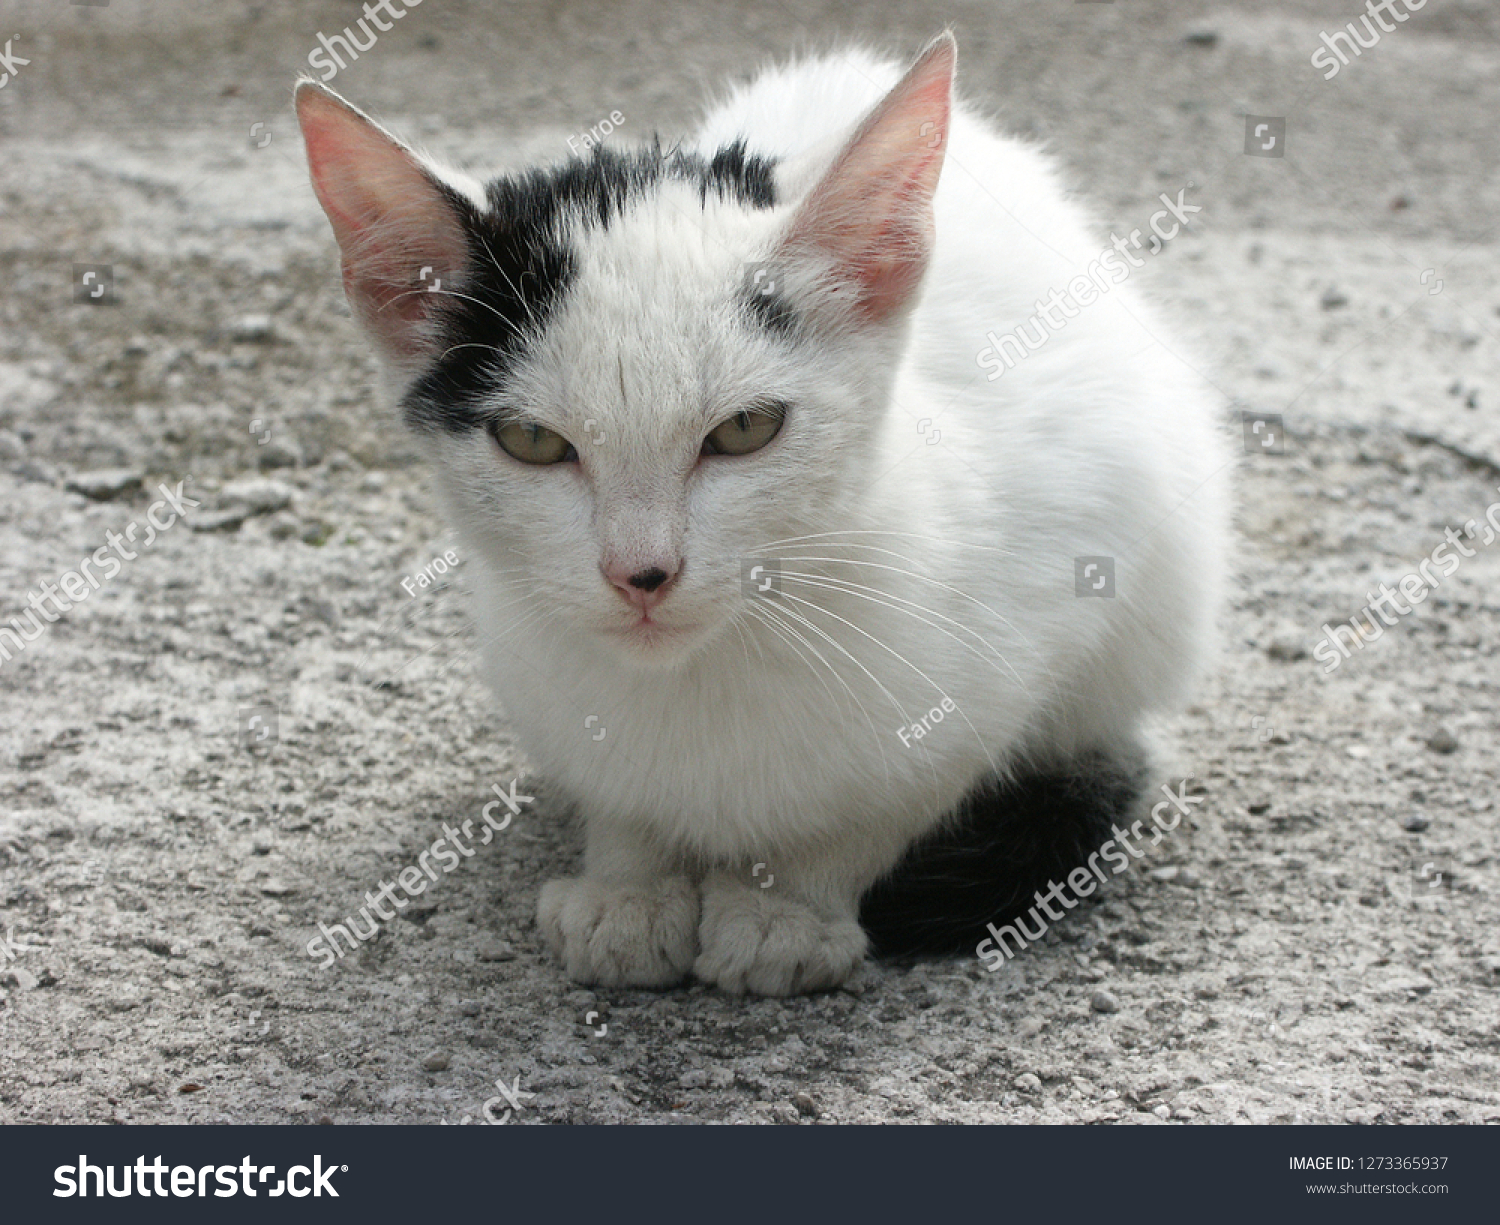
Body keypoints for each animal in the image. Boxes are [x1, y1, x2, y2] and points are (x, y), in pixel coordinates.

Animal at [295, 33, 1230, 1001]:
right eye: (532, 441)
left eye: (745, 429)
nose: (641, 573)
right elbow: (617, 796)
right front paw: (627, 889)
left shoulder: (1051, 596)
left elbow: (889, 803)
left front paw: (787, 911)